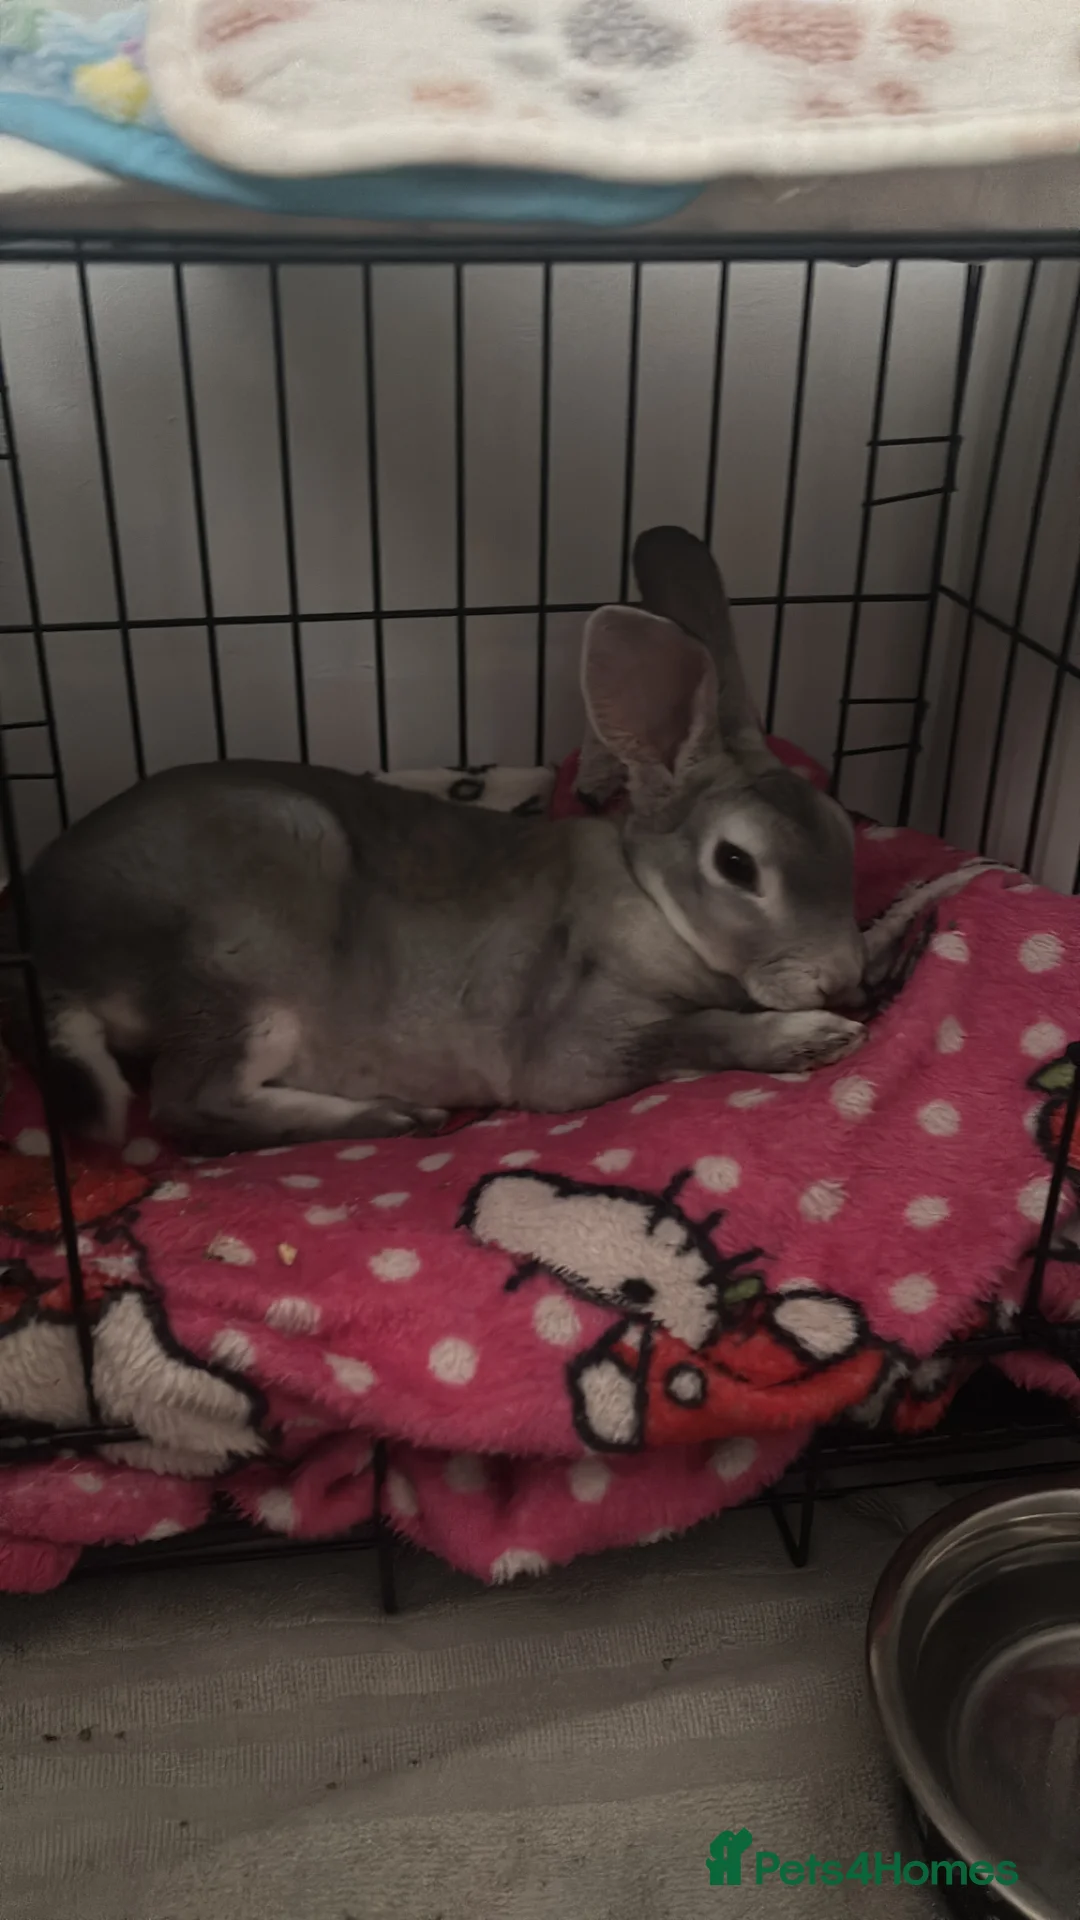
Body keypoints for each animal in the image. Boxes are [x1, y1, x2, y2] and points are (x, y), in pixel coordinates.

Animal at [2, 526, 865, 1155]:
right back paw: (389, 1117)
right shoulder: (581, 1045)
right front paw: (811, 1038)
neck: (654, 903)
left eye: (844, 836)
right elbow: (698, 1034)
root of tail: (45, 949)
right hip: (243, 970)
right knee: (189, 1106)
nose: (843, 980)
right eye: (736, 863)